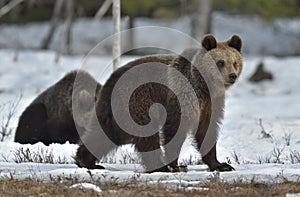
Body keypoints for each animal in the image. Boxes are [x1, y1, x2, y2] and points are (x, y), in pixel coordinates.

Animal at [75, 34, 244, 172]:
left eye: (235, 62)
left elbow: (207, 129)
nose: (232, 76)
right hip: (137, 101)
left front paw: (221, 165)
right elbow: (176, 127)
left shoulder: (211, 102)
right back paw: (159, 166)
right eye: (220, 62)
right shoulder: (182, 95)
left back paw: (85, 160)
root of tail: (110, 81)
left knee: (105, 133)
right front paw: (175, 166)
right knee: (146, 134)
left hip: (114, 110)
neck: (204, 86)